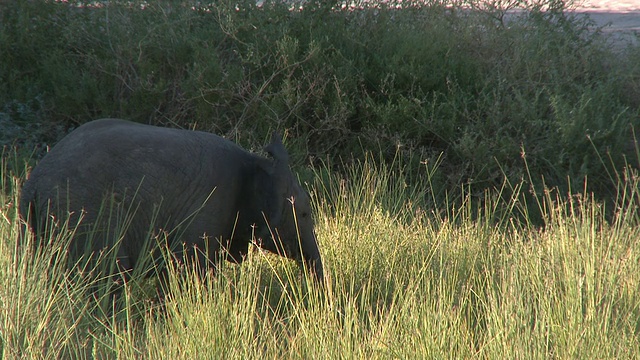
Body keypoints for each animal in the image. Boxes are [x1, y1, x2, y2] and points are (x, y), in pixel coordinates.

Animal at [20, 119, 322, 286]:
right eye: (304, 215)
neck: (257, 162)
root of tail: (33, 185)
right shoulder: (209, 208)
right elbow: (189, 272)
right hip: (85, 213)